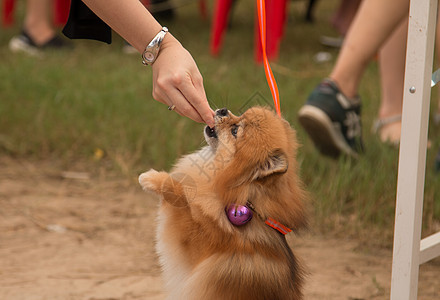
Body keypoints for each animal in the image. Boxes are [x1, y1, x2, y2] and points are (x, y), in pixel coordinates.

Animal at [140, 106, 306, 298]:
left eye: (235, 131)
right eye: (240, 115)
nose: (223, 110)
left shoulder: (189, 236)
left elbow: (181, 193)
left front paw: (151, 178)